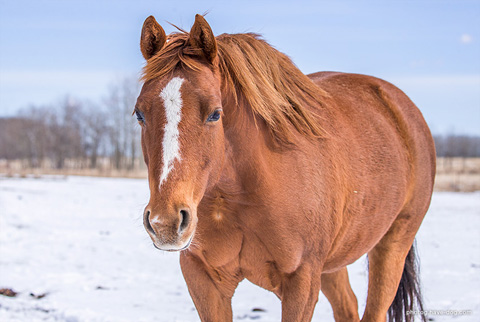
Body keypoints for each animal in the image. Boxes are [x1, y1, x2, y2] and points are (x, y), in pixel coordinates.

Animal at [135, 13, 436, 320]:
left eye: (215, 114)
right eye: (139, 114)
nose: (165, 222)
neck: (241, 195)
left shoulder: (302, 283)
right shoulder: (204, 279)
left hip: (392, 245)